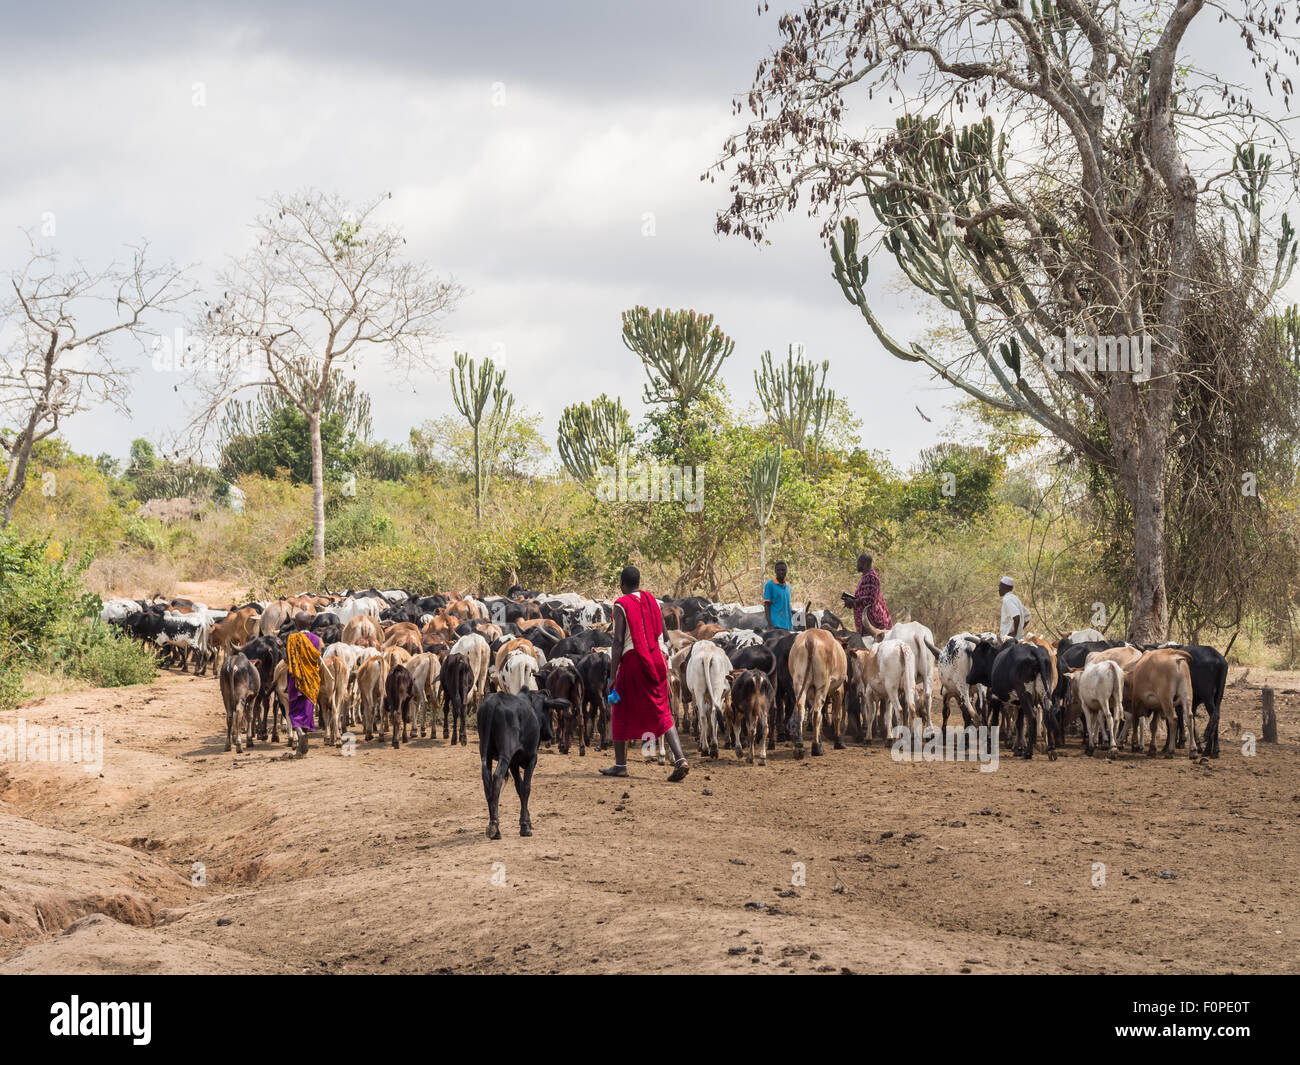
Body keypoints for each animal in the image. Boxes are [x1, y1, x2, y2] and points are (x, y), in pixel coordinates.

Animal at [475, 691, 561, 842]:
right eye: (550, 712)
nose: (550, 734)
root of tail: (493, 700)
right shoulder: (532, 758)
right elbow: (526, 788)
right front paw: (525, 826)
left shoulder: (514, 764)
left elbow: (519, 788)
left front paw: (527, 820)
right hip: (505, 753)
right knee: (497, 777)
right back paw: (494, 826)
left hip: (486, 753)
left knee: (487, 781)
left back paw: (494, 826)